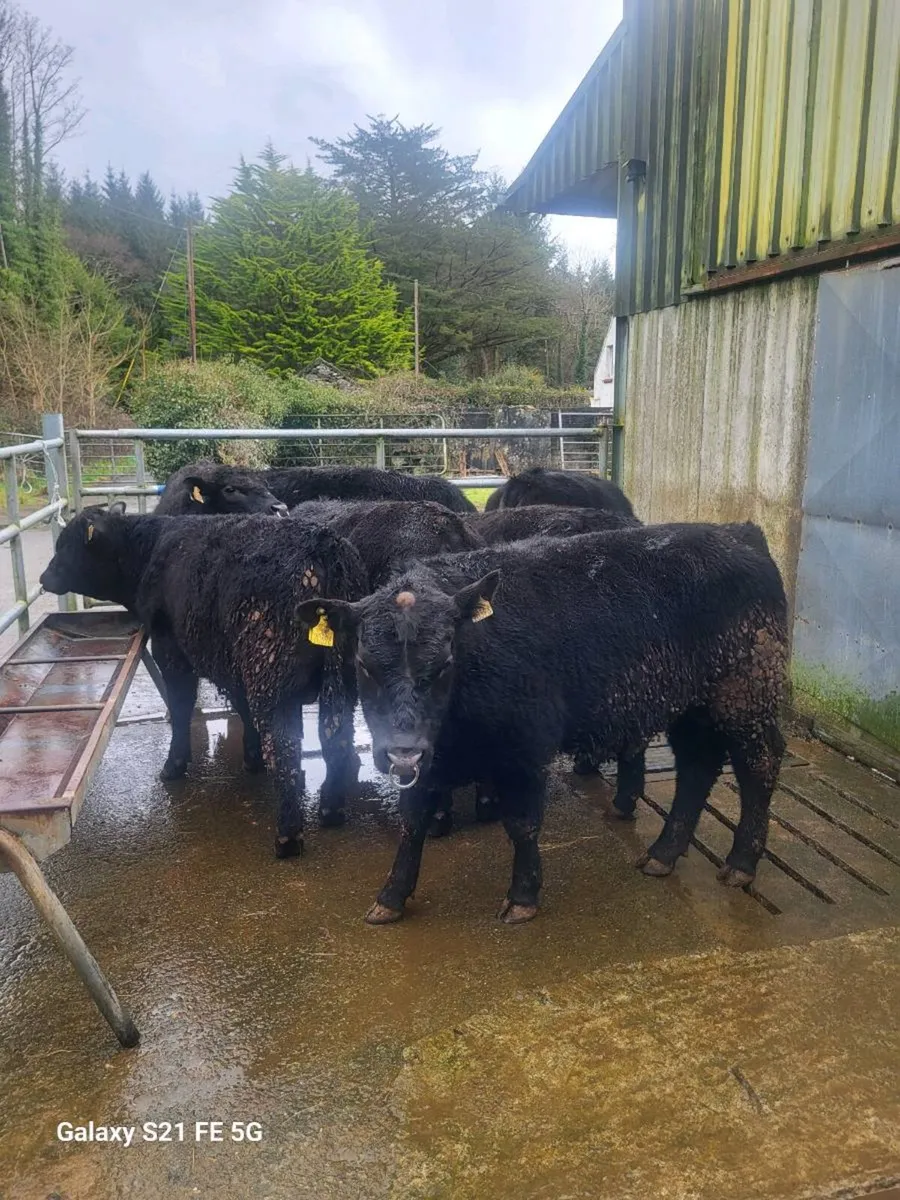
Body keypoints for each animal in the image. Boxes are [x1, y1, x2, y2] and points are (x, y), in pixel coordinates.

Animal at [40, 504, 368, 854]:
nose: (43, 578)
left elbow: (182, 706)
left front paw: (174, 764)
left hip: (268, 674)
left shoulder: (170, 648)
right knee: (335, 734)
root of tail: (322, 543)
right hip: (341, 678)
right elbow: (240, 708)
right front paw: (251, 759)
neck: (149, 550)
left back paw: (288, 837)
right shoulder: (232, 664)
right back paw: (331, 809)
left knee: (285, 745)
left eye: (65, 545)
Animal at [298, 524, 788, 924]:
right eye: (364, 665)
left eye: (445, 663)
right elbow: (412, 821)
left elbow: (522, 825)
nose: (402, 750)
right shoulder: (429, 758)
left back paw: (741, 864)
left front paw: (522, 897)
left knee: (759, 765)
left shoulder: (527, 748)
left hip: (747, 691)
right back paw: (663, 854)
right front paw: (391, 898)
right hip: (693, 704)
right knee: (697, 767)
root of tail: (739, 534)